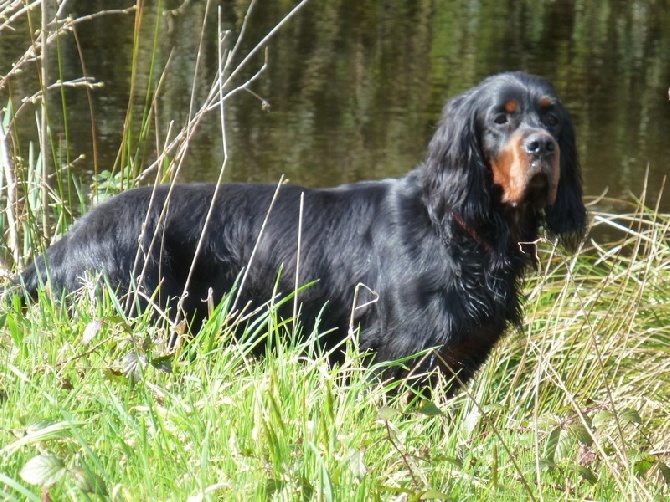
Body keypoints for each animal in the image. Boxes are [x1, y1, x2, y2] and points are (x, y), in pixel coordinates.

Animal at [13, 72, 584, 390]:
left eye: (552, 118)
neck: (462, 231)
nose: (542, 146)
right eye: (501, 119)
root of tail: (65, 245)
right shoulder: (397, 361)